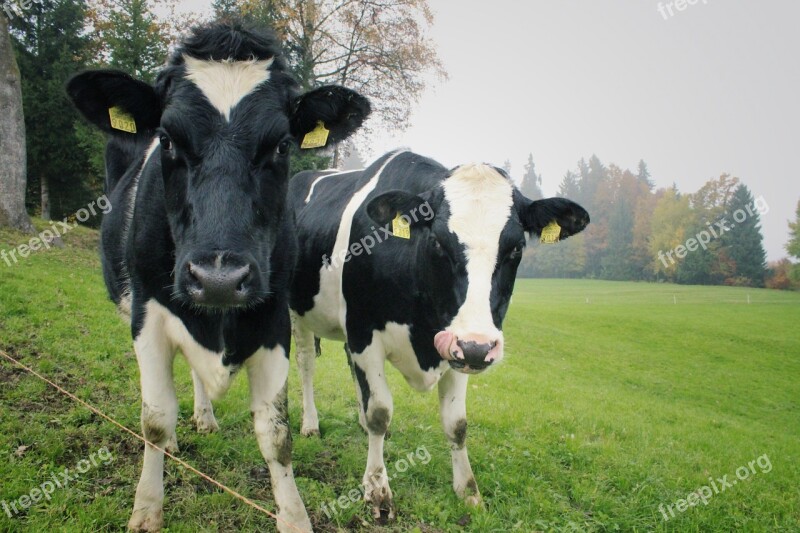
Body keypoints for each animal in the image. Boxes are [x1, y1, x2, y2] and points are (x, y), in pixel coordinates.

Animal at [66, 21, 372, 532]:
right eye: (168, 139)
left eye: (282, 145)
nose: (219, 280)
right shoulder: (148, 315)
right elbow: (154, 418)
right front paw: (146, 509)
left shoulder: (273, 318)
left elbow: (275, 434)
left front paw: (294, 516)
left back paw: (205, 418)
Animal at [288, 150, 588, 520]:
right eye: (436, 242)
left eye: (517, 248)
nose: (478, 347)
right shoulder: (364, 333)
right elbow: (380, 412)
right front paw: (377, 490)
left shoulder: (458, 349)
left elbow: (456, 423)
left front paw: (469, 491)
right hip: (297, 311)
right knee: (306, 364)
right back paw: (310, 424)